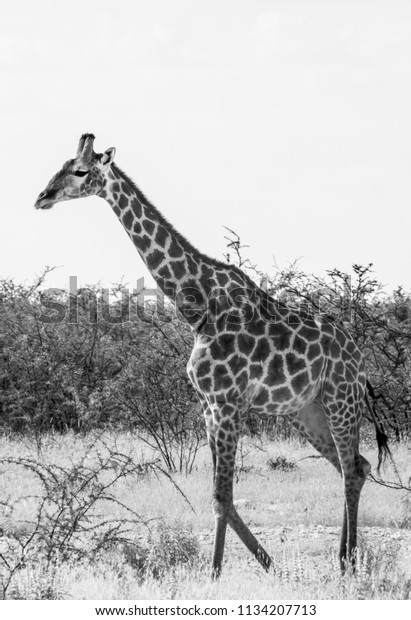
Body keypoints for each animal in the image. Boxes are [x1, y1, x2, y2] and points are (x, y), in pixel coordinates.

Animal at [34, 133, 390, 580]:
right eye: (60, 165)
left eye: (81, 171)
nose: (41, 197)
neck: (198, 306)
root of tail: (360, 361)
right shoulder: (208, 405)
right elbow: (221, 497)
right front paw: (269, 566)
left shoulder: (227, 403)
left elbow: (222, 497)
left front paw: (218, 574)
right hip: (306, 411)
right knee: (355, 466)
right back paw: (343, 559)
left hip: (341, 400)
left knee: (351, 470)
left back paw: (349, 566)